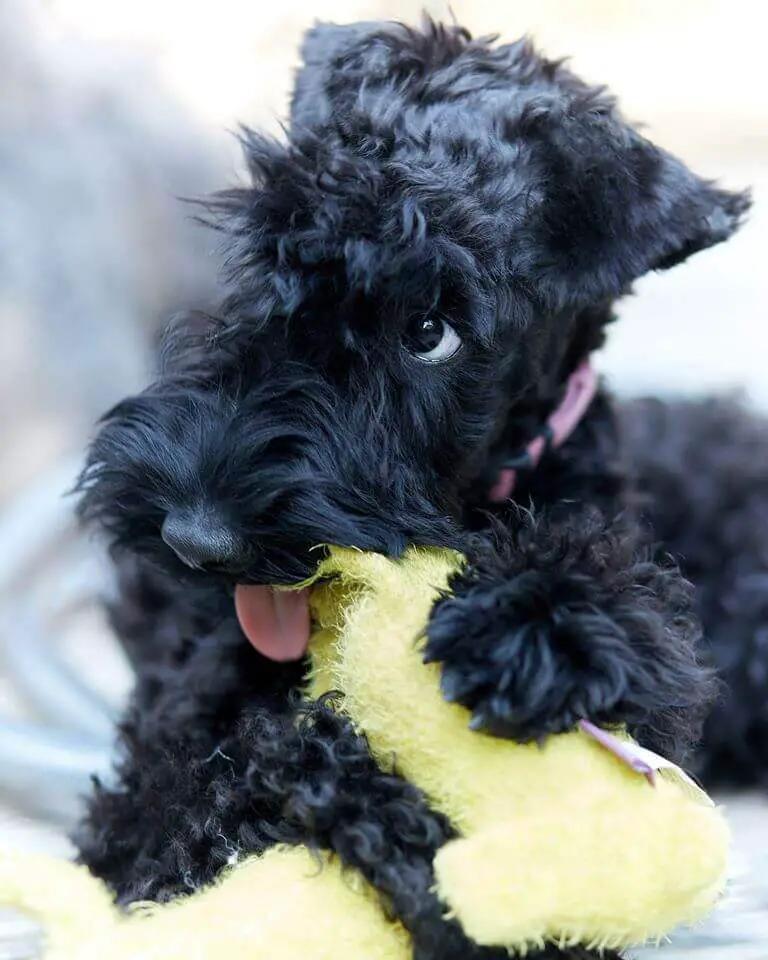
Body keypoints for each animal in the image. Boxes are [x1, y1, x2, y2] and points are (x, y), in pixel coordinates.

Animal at [75, 20, 760, 960]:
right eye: (266, 253)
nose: (194, 538)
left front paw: (542, 625)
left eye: (432, 331)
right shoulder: (151, 775)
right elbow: (231, 774)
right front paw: (376, 810)